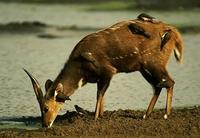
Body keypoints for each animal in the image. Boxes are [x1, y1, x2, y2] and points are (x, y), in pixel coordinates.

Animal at [23, 13, 183, 128]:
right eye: (41, 107)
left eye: (45, 108)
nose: (45, 124)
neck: (79, 64)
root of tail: (173, 31)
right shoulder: (101, 77)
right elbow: (102, 95)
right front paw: (99, 115)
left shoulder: (108, 72)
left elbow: (99, 94)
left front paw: (95, 117)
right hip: (143, 68)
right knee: (158, 85)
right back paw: (146, 115)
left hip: (153, 64)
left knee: (169, 82)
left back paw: (165, 115)